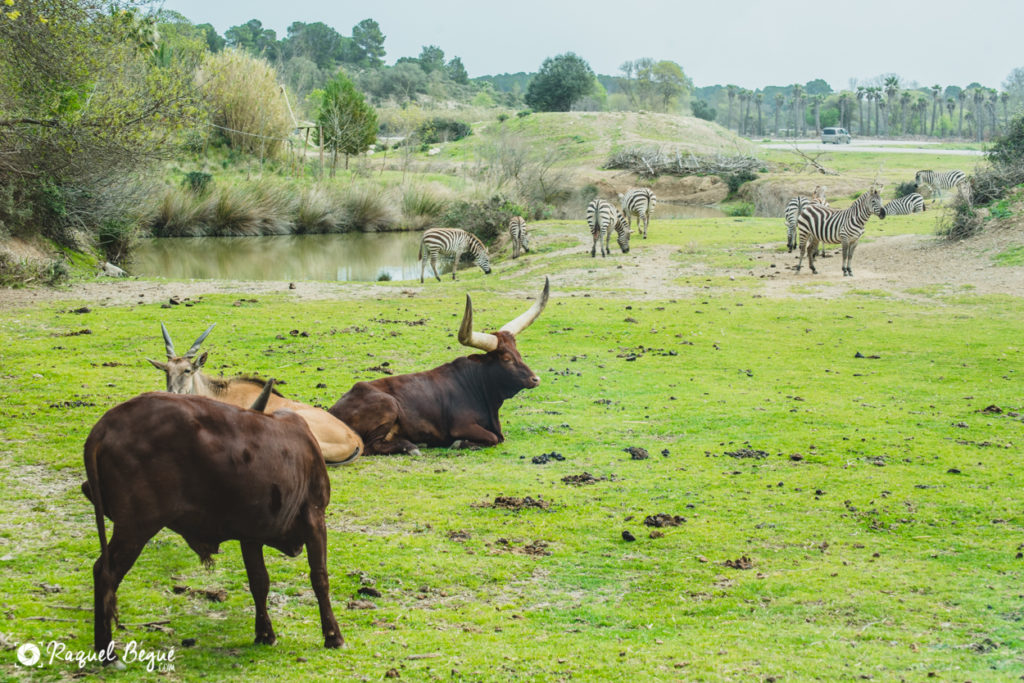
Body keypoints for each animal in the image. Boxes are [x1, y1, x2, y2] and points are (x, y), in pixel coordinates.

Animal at [80, 389, 344, 655]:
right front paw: (333, 635)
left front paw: (264, 634)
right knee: (105, 574)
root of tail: (106, 424)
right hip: (136, 527)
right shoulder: (315, 516)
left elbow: (259, 581)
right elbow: (320, 578)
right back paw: (107, 651)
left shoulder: (251, 534)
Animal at [331, 274, 548, 456]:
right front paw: (459, 443)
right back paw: (411, 446)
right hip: (389, 405)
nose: (535, 379)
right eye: (506, 359)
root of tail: (333, 410)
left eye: (518, 353)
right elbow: (493, 438)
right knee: (369, 447)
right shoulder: (461, 426)